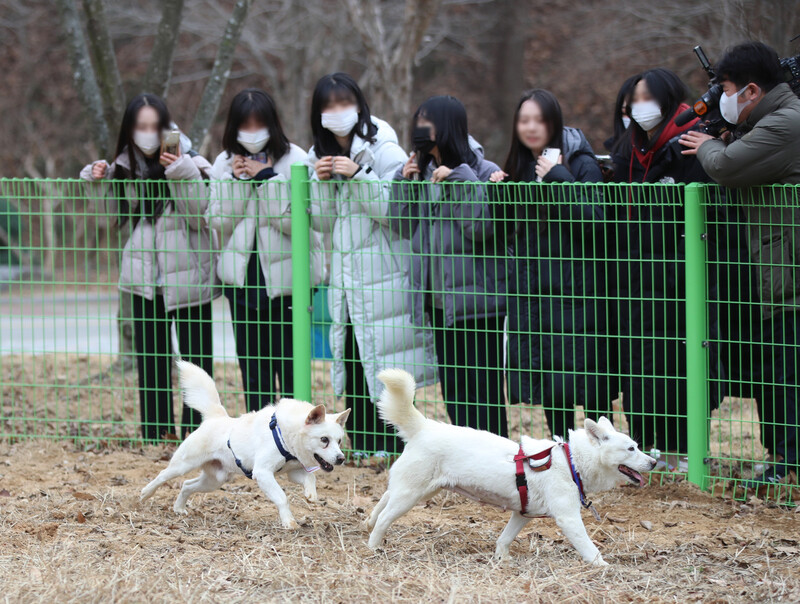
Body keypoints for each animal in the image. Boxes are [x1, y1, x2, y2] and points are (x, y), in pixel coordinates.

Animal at [140, 360, 350, 528]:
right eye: (324, 440)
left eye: (339, 441)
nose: (341, 458)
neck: (284, 435)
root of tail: (215, 417)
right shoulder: (263, 473)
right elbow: (282, 497)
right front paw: (289, 522)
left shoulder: (293, 472)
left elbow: (310, 478)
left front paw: (310, 494)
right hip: (183, 465)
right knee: (162, 476)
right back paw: (144, 494)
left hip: (215, 480)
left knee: (186, 485)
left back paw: (179, 508)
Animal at [368, 368, 656, 568]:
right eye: (631, 449)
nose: (654, 462)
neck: (570, 461)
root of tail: (424, 427)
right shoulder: (568, 518)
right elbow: (589, 548)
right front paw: (604, 566)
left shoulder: (522, 514)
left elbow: (504, 539)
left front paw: (501, 559)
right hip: (411, 495)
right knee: (384, 518)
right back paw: (372, 547)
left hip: (420, 490)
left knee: (385, 498)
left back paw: (367, 521)